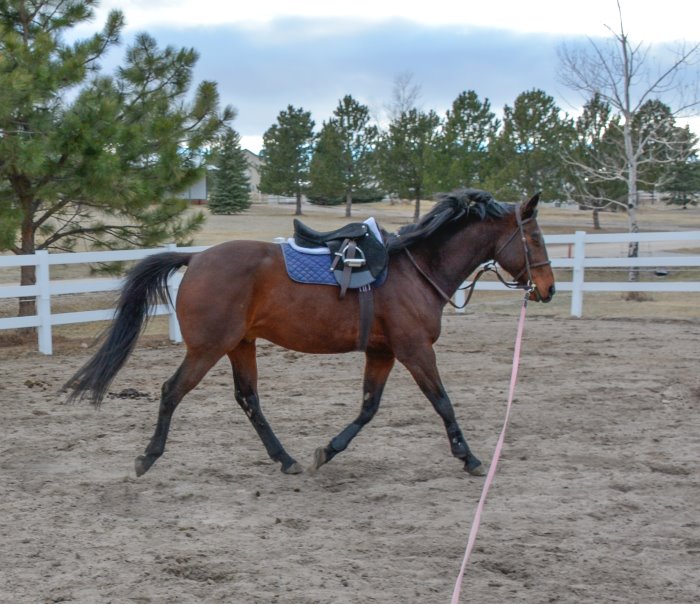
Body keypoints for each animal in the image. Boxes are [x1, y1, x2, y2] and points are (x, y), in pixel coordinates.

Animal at [67, 188, 556, 476]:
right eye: (534, 239)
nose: (549, 288)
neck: (414, 268)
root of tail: (197, 257)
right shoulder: (415, 350)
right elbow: (442, 402)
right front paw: (470, 458)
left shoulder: (383, 352)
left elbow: (368, 408)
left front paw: (329, 449)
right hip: (208, 348)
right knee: (173, 391)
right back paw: (149, 456)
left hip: (240, 345)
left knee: (248, 399)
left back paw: (285, 459)